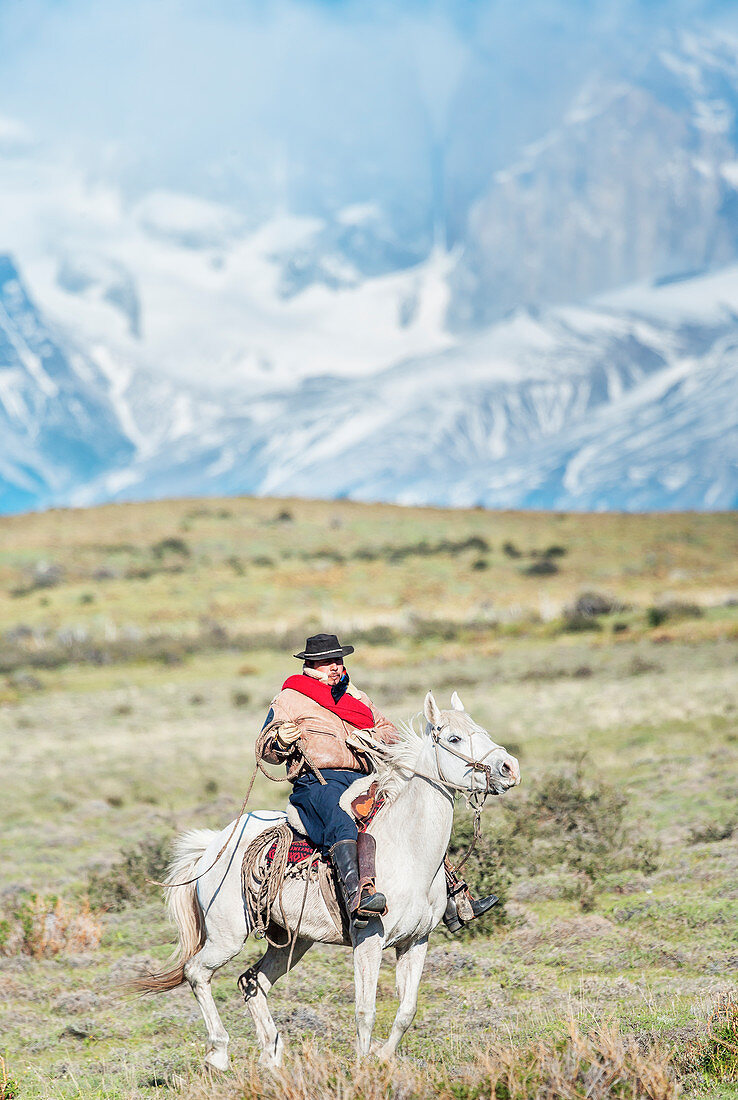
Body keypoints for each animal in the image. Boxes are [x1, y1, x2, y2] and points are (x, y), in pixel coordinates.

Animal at [136, 690, 519, 1069]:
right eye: (453, 738)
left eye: (481, 730)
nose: (509, 768)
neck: (408, 849)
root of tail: (214, 846)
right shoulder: (368, 940)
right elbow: (365, 1011)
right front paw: (365, 1067)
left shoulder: (416, 941)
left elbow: (406, 1011)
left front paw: (383, 1057)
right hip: (226, 938)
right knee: (197, 972)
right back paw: (218, 1053)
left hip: (290, 941)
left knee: (252, 982)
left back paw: (272, 1056)